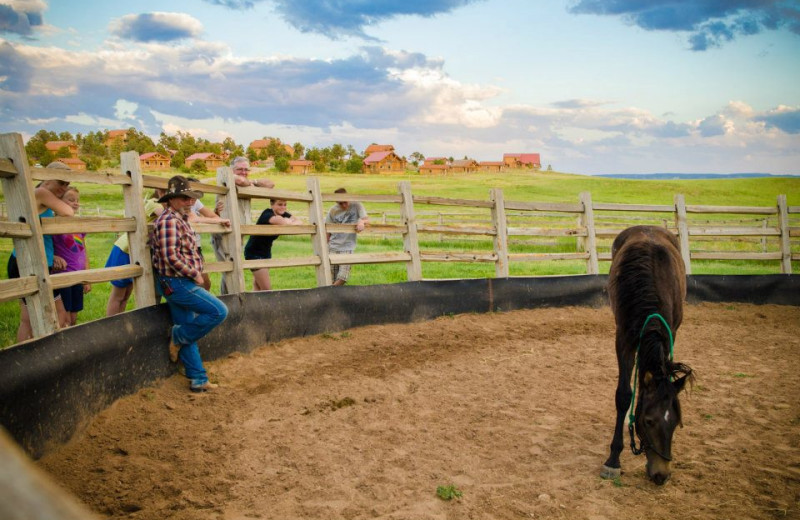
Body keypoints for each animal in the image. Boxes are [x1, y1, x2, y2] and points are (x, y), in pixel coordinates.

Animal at [600, 225, 692, 486]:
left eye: (676, 423)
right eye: (649, 421)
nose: (661, 475)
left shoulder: (671, 333)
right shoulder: (623, 338)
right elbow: (624, 395)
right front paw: (613, 459)